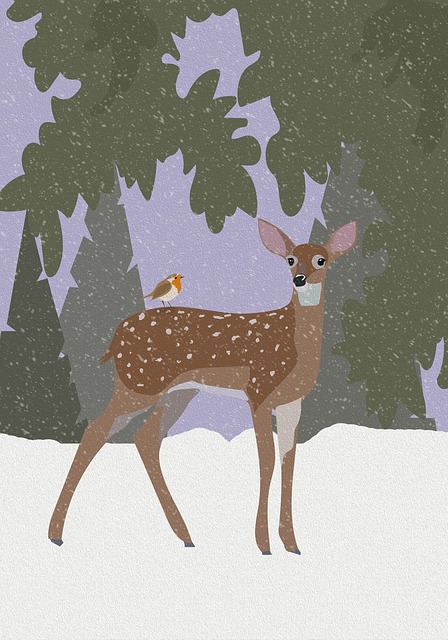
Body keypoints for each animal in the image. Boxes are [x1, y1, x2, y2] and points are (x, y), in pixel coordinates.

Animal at [49, 218, 357, 555]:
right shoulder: (259, 390)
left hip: (176, 393)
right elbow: (267, 460)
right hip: (139, 383)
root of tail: (115, 339)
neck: (294, 341)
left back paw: (185, 535)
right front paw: (263, 544)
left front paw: (292, 544)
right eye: (289, 259)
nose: (300, 279)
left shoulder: (293, 401)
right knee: (96, 431)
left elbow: (289, 460)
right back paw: (55, 533)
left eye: (321, 260)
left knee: (145, 438)